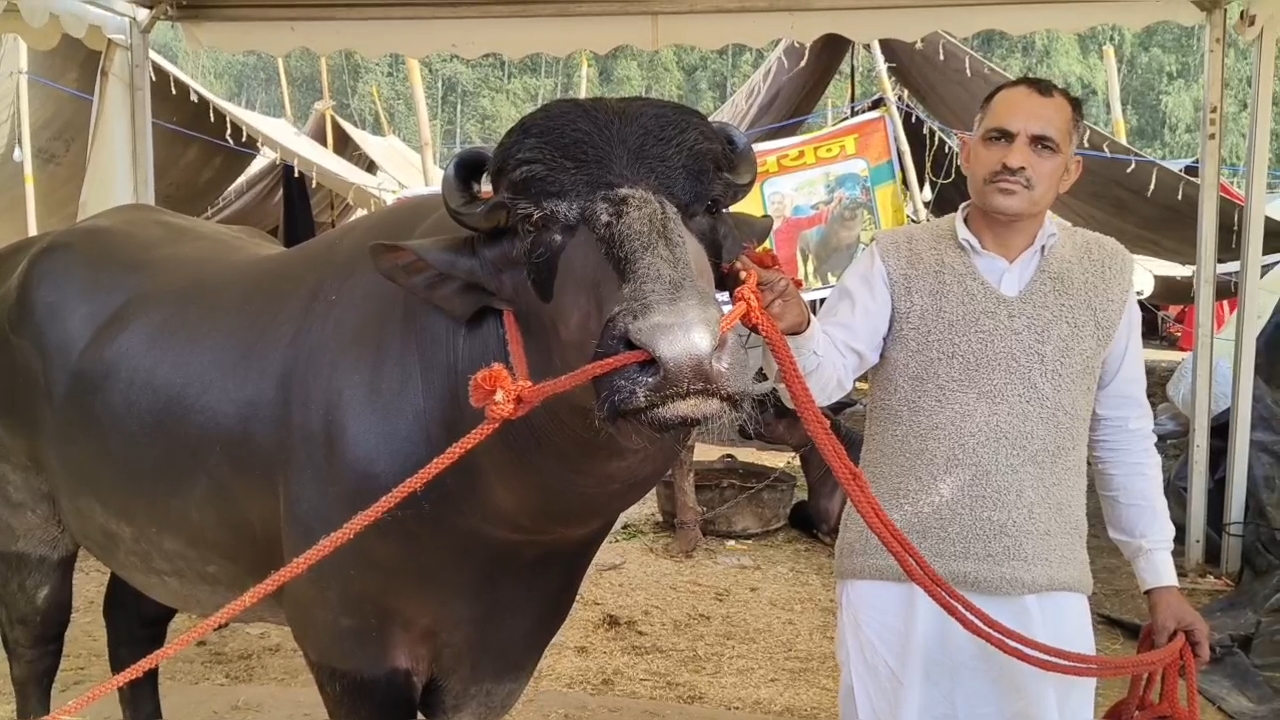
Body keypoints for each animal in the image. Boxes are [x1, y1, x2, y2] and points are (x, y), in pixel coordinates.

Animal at [0, 97, 774, 720]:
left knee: (131, 625)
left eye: (706, 208)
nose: (680, 355)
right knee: (35, 639)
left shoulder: (500, 658)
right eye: (533, 222)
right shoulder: (351, 648)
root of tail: (25, 257)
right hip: (30, 518)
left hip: (156, 530)